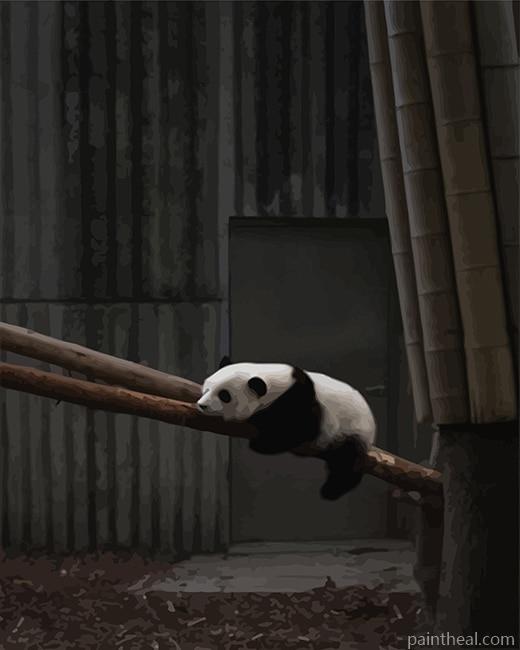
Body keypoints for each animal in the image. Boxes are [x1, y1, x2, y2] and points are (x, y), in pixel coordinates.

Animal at [197, 358, 376, 501]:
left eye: (224, 395)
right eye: (207, 388)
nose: (202, 405)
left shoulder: (299, 398)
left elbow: (300, 428)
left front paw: (261, 441)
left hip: (352, 430)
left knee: (346, 459)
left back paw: (331, 490)